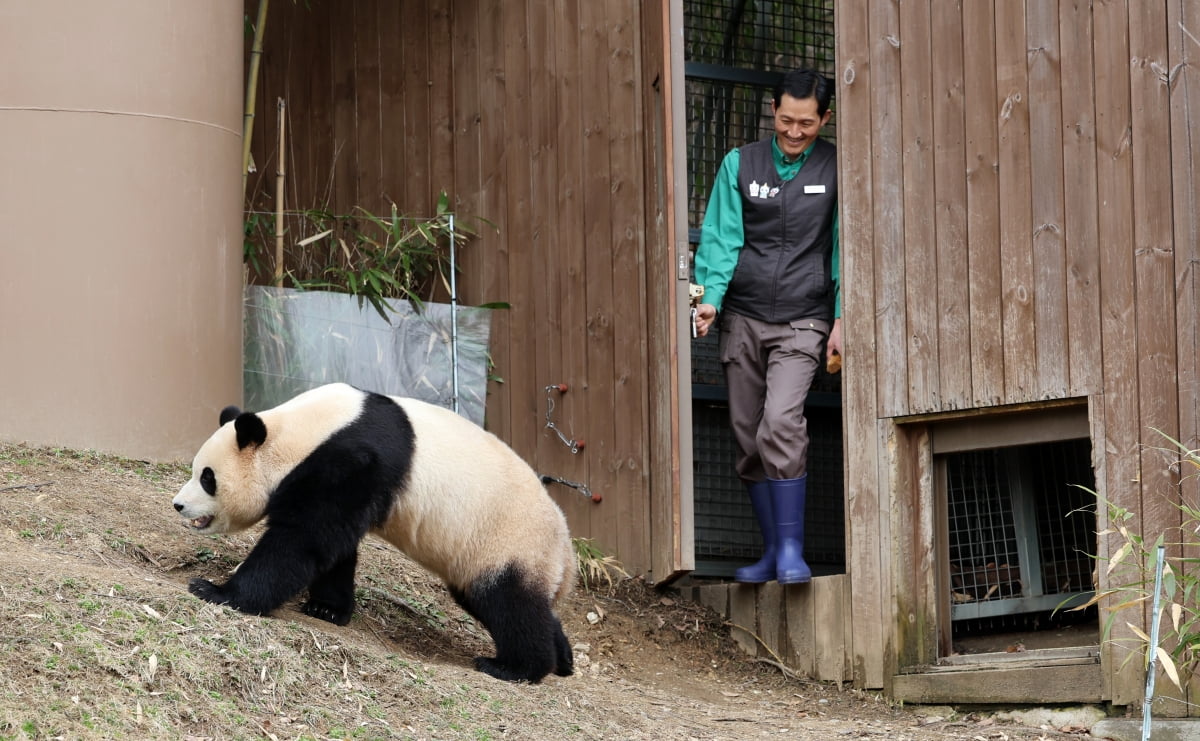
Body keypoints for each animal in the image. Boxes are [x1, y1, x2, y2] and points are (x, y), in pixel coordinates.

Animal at [172, 381, 576, 681]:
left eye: (207, 478)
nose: (178, 504)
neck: (302, 431)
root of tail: (568, 554)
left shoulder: (353, 459)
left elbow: (302, 540)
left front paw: (216, 590)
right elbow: (333, 546)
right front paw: (327, 608)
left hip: (507, 540)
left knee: (508, 601)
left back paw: (516, 667)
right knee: (496, 600)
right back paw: (563, 658)